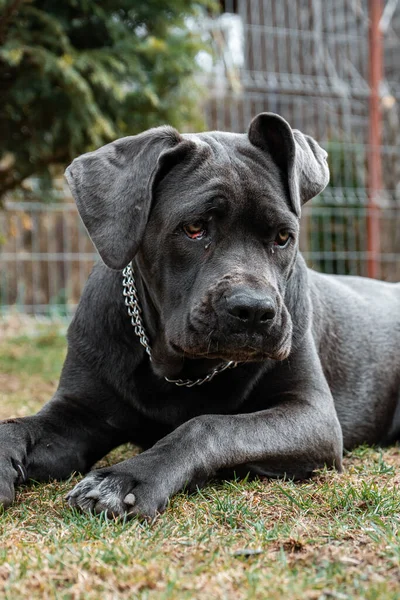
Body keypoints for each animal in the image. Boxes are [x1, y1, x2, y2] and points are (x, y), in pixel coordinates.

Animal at [0, 113, 400, 520]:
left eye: (283, 237)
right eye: (194, 228)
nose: (254, 311)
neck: (178, 370)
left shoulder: (312, 415)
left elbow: (209, 426)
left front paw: (126, 479)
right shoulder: (79, 412)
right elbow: (14, 427)